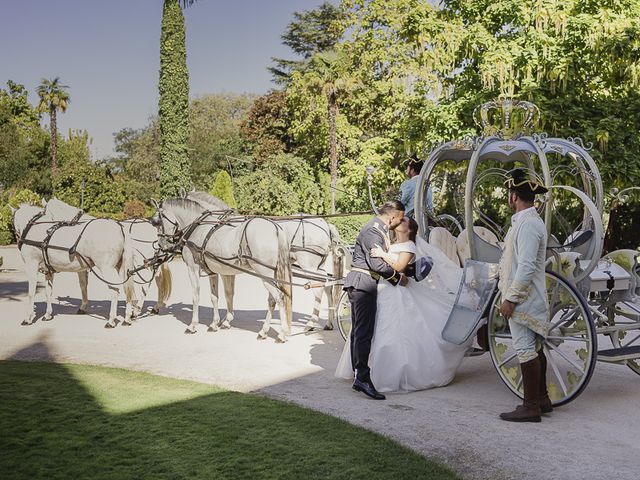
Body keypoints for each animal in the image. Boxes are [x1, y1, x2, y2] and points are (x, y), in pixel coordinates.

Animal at [44, 199, 172, 318]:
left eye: (44, 212)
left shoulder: (81, 267)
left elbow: (83, 285)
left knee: (148, 283)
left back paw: (138, 309)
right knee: (158, 280)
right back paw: (155, 307)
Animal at [151, 199, 294, 342]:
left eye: (158, 222)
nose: (161, 246)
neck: (197, 229)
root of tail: (276, 228)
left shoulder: (192, 268)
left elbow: (196, 296)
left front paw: (192, 325)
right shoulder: (214, 272)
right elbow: (216, 297)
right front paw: (215, 323)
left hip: (265, 275)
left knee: (279, 298)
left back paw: (282, 333)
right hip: (271, 276)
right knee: (272, 300)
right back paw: (264, 331)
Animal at [186, 191, 344, 330]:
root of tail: (325, 224)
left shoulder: (218, 268)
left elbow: (215, 294)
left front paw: (215, 322)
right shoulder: (225, 269)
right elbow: (227, 294)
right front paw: (225, 320)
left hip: (308, 266)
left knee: (318, 289)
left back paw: (311, 323)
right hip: (318, 266)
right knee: (328, 285)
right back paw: (328, 323)